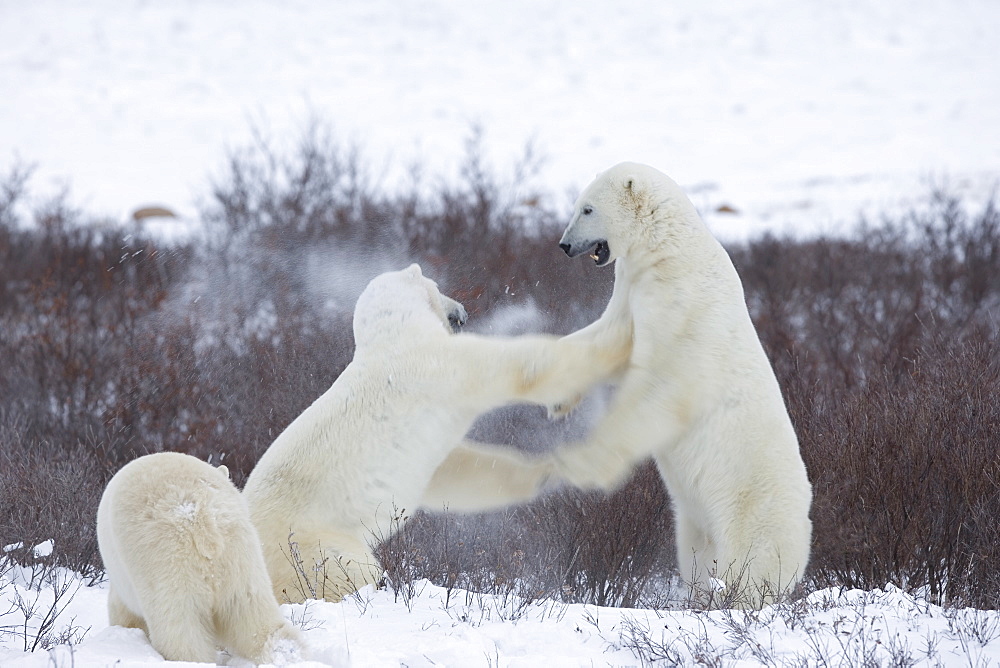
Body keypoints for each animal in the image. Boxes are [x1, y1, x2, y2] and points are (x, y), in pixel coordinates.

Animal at [95, 448, 302, 664]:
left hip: (166, 563)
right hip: (241, 555)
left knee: (180, 628)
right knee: (252, 611)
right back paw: (285, 653)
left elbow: (122, 610)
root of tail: (201, 518)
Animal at [243, 264, 628, 604]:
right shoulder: (441, 367)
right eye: (438, 285)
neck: (395, 338)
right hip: (310, 546)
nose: (464, 311)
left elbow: (456, 471)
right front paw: (614, 350)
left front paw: (549, 471)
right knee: (348, 571)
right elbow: (521, 367)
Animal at [556, 160, 812, 604]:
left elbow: (662, 386)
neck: (667, 250)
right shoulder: (633, 287)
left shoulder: (682, 308)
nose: (564, 245)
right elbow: (609, 338)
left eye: (587, 209)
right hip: (692, 523)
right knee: (695, 556)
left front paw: (592, 454)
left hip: (753, 511)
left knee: (748, 567)